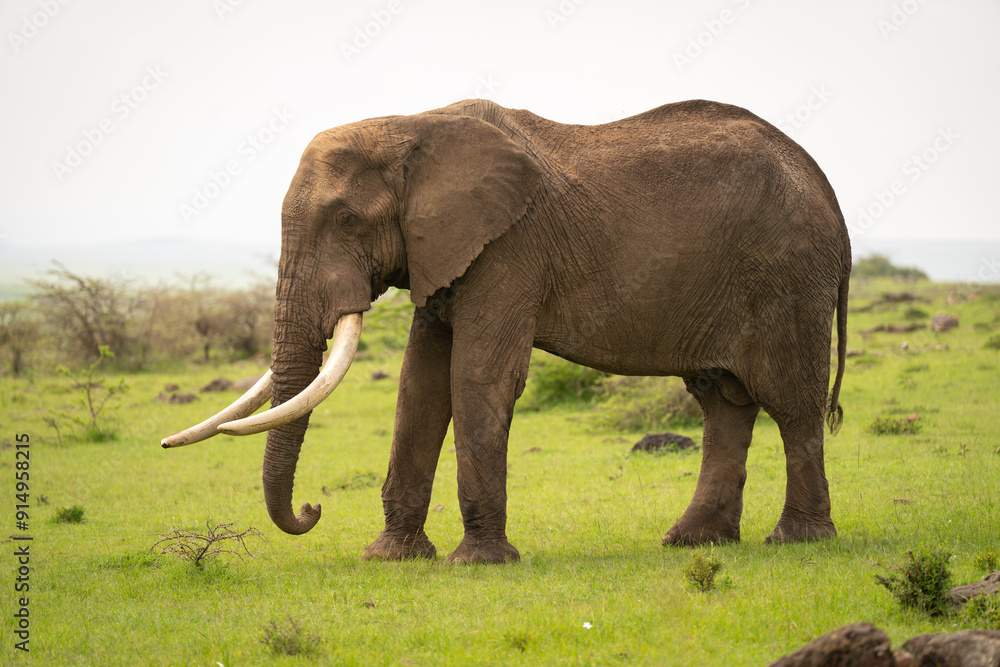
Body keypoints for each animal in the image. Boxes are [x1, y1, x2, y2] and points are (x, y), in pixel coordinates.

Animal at [163, 98, 850, 564]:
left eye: (348, 220)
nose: (312, 509)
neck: (413, 125)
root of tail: (827, 188)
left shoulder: (510, 246)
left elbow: (476, 376)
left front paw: (479, 563)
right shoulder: (444, 250)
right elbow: (419, 386)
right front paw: (392, 557)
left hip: (788, 276)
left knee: (791, 401)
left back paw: (797, 541)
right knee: (722, 400)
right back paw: (693, 542)